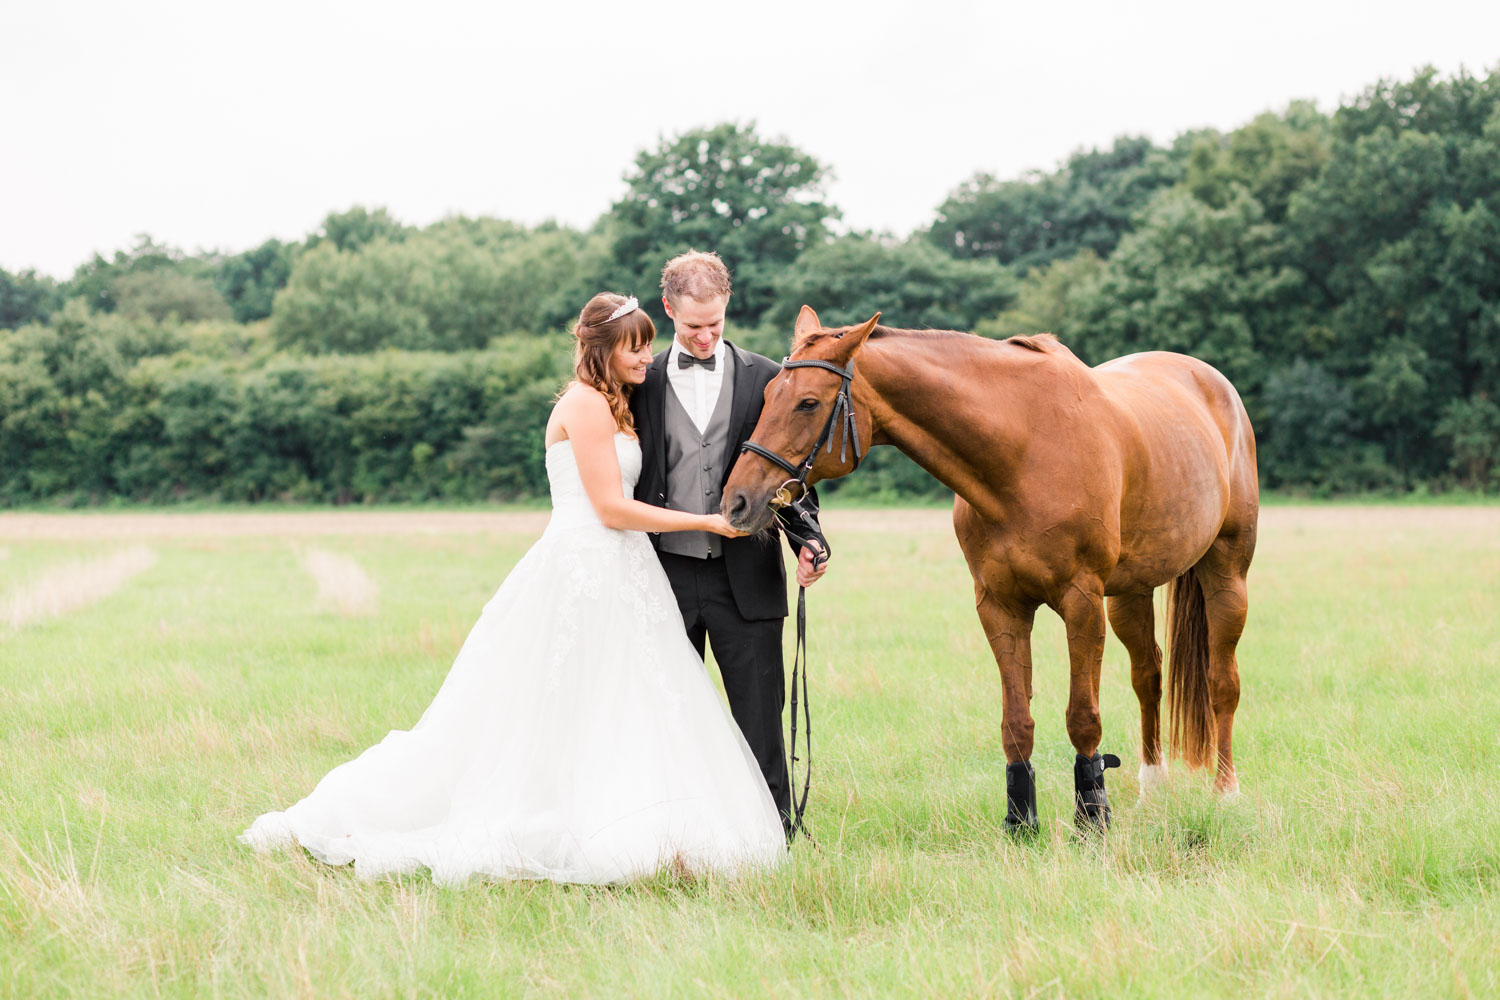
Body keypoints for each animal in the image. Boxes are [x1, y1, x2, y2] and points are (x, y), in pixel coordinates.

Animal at [720, 307, 1260, 839]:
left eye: (808, 403)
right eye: (767, 395)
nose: (737, 502)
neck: (1025, 449)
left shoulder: (1082, 602)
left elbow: (1083, 717)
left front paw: (1092, 821)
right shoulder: (1000, 606)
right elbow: (1016, 723)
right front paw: (1020, 823)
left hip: (1226, 574)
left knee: (1222, 682)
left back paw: (1227, 793)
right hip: (1131, 593)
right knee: (1148, 676)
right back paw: (1154, 791)